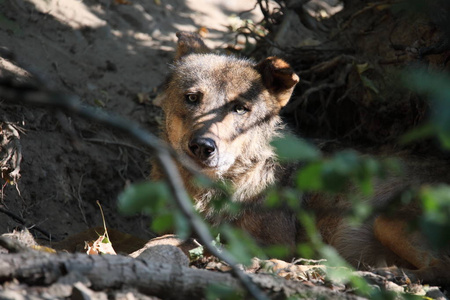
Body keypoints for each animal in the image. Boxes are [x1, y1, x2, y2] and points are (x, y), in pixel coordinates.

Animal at [152, 31, 450, 284]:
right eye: (192, 98)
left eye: (239, 108)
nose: (203, 146)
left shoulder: (272, 242)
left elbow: (182, 242)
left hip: (386, 219)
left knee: (436, 270)